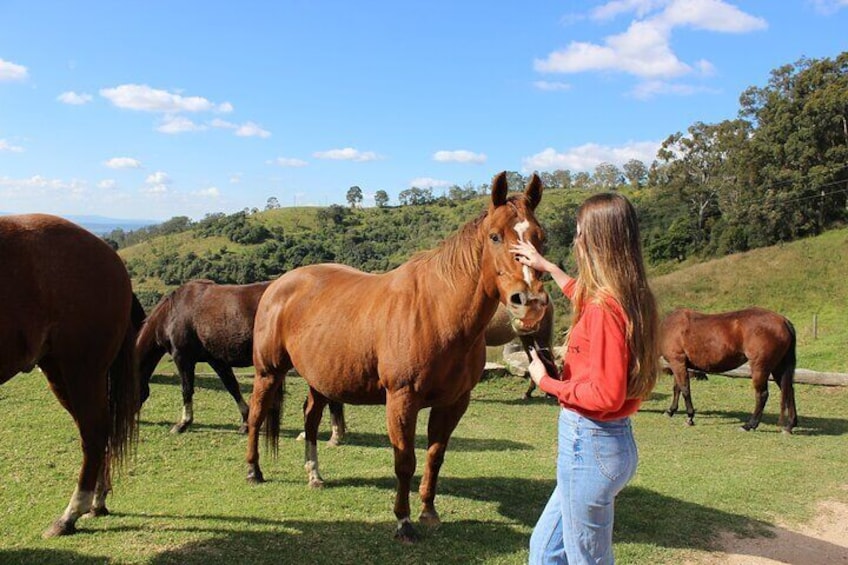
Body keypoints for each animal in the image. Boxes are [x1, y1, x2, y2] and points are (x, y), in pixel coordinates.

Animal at [0, 214, 142, 536]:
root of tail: (112, 257)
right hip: (60, 372)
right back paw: (96, 501)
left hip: (82, 371)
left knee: (94, 432)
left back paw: (70, 515)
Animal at [137, 278, 272, 432]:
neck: (171, 314)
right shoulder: (216, 360)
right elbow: (232, 387)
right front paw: (245, 422)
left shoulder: (182, 358)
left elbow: (186, 389)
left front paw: (183, 423)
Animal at [245, 172, 548, 540]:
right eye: (495, 236)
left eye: (540, 237)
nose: (529, 302)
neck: (437, 311)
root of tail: (279, 285)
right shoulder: (402, 399)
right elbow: (405, 462)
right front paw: (403, 521)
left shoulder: (453, 403)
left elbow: (435, 457)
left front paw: (428, 511)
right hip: (269, 372)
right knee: (257, 414)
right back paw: (253, 471)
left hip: (320, 379)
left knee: (311, 418)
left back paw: (314, 474)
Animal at [664, 308, 796, 432]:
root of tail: (783, 321)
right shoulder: (678, 364)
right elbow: (677, 388)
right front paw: (671, 411)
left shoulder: (677, 362)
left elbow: (685, 389)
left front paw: (690, 418)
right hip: (778, 368)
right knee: (788, 390)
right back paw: (789, 426)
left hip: (760, 368)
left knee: (762, 394)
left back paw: (749, 425)